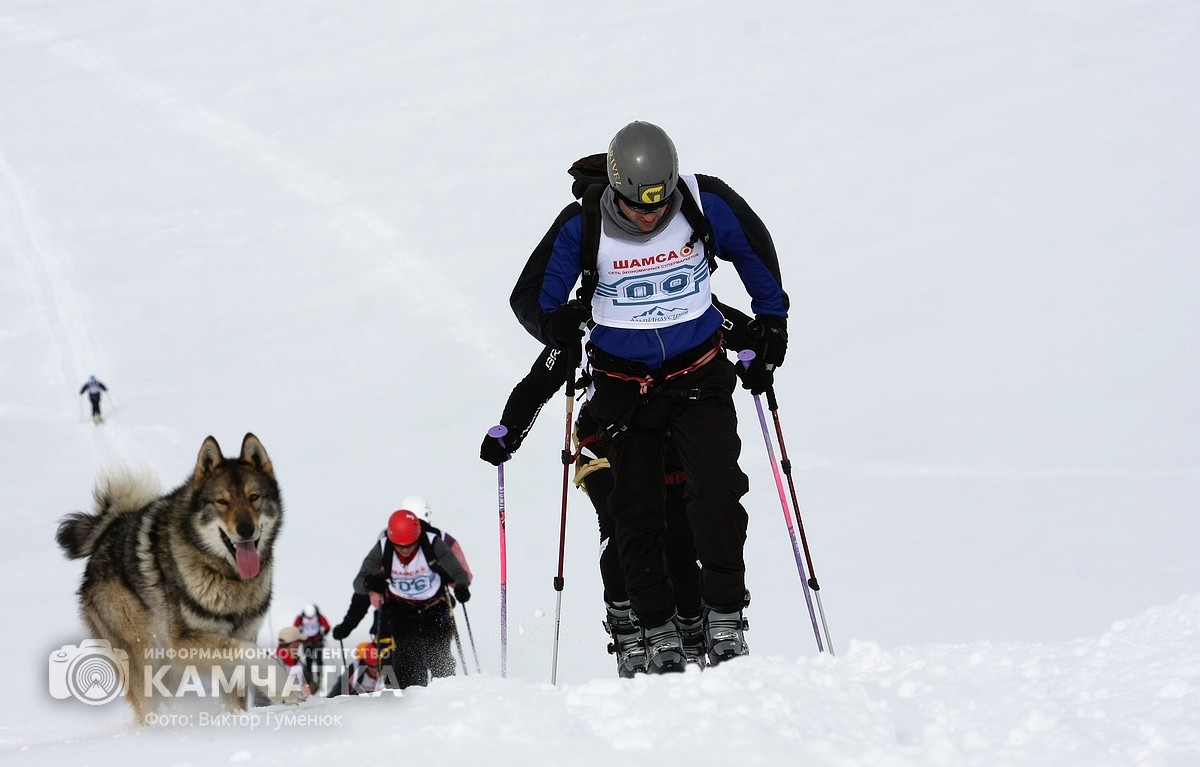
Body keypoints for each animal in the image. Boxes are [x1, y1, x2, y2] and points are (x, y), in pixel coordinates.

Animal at [56, 433, 298, 720]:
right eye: (222, 501)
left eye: (254, 497)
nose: (246, 530)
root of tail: (106, 533)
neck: (227, 577)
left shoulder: (243, 635)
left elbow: (241, 680)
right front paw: (285, 688)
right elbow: (252, 654)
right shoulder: (184, 643)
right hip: (148, 656)